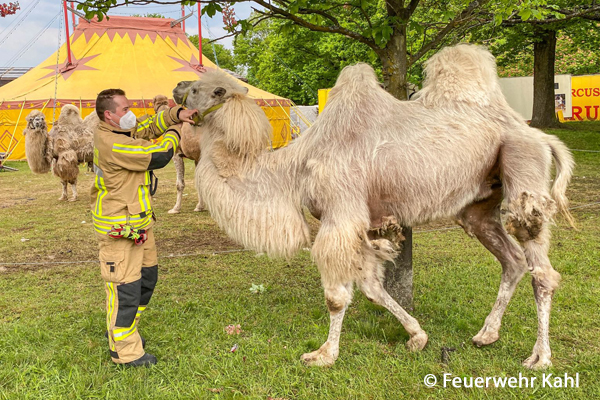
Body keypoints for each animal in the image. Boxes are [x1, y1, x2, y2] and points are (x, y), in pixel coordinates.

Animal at [177, 45, 572, 370]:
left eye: (199, 89)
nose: (177, 87)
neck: (294, 169)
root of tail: (541, 135)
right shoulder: (362, 222)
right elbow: (371, 286)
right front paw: (417, 336)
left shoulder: (340, 214)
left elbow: (337, 296)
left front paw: (324, 354)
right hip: (480, 201)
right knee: (512, 259)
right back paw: (486, 334)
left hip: (523, 168)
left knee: (542, 270)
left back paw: (540, 357)